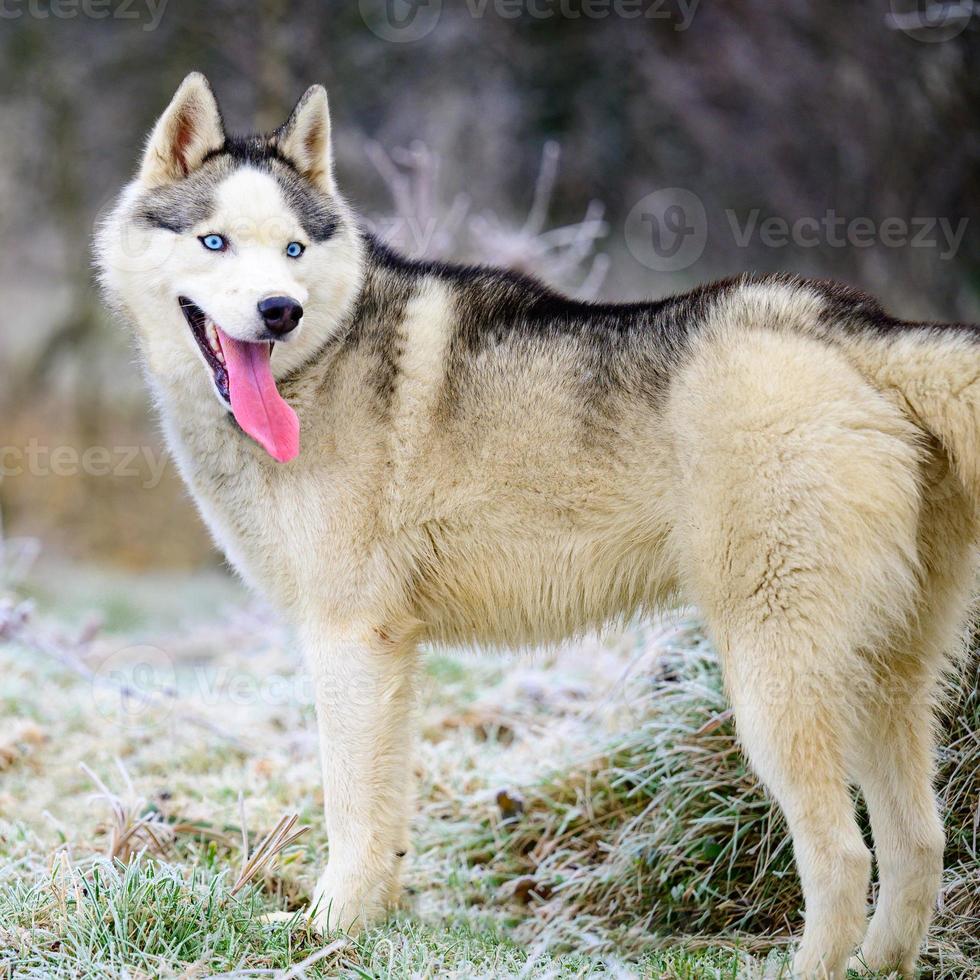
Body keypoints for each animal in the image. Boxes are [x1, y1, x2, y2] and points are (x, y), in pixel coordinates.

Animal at [94, 72, 980, 976]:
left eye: (295, 252)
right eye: (214, 242)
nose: (281, 311)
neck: (321, 365)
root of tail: (854, 326)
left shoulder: (347, 640)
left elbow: (349, 811)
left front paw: (322, 930)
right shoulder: (391, 654)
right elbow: (387, 817)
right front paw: (366, 928)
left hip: (774, 685)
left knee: (844, 856)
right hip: (884, 684)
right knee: (920, 846)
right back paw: (881, 963)